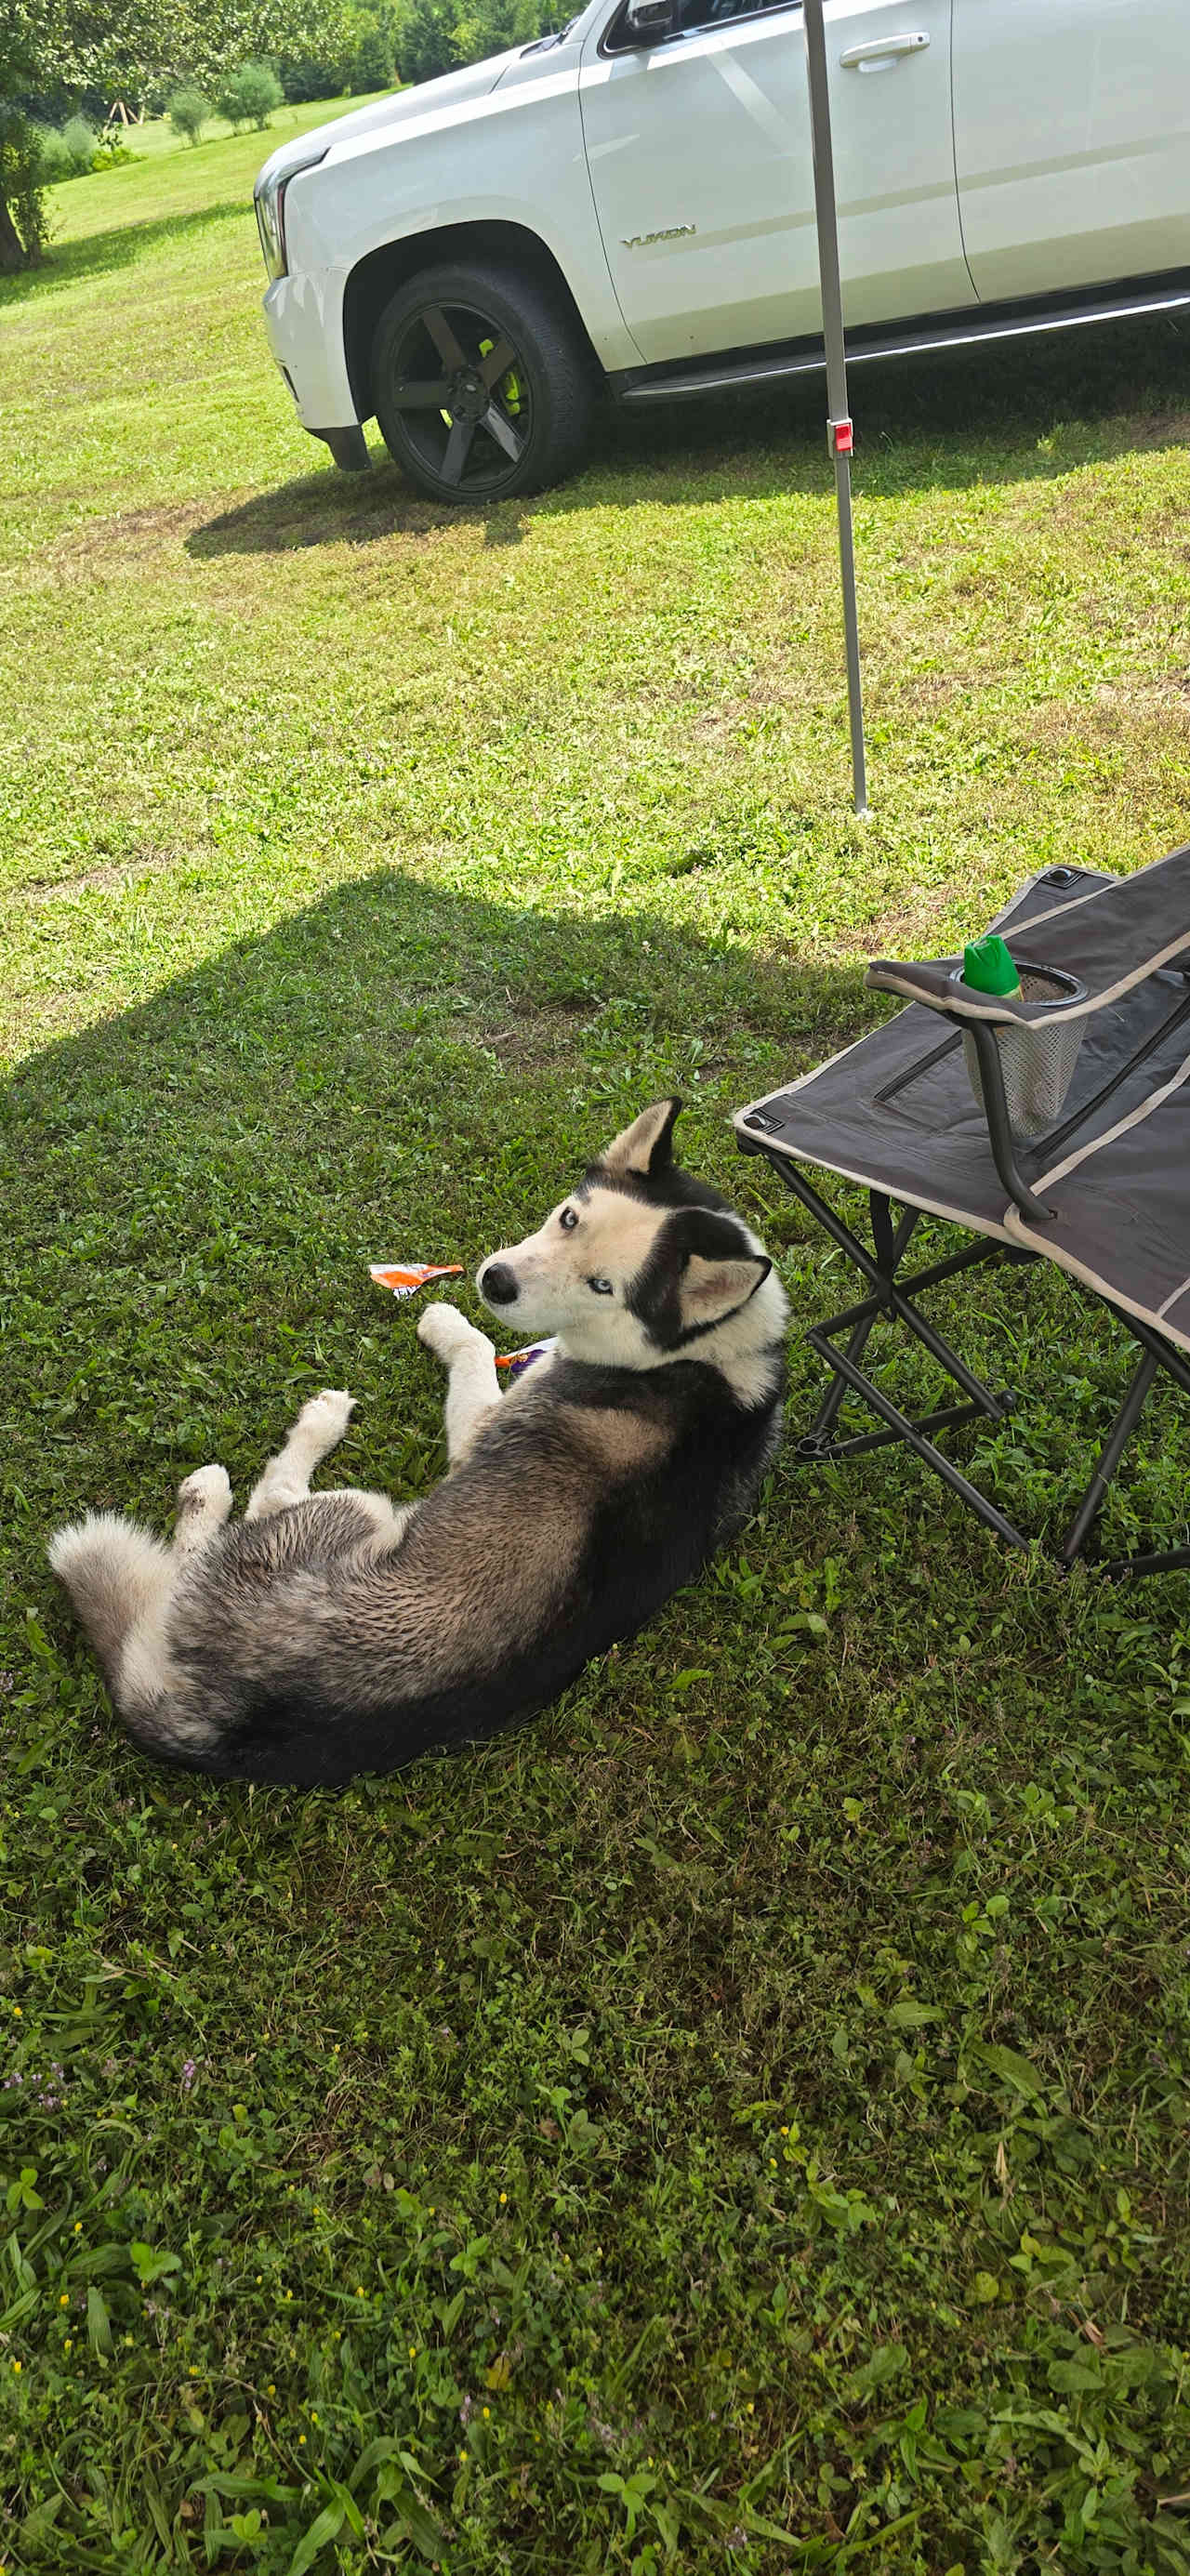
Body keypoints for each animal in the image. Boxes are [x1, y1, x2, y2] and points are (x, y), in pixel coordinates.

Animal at [51, 1102, 783, 1792]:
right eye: (569, 1218)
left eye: (603, 1285)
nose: (494, 1282)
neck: (699, 1354)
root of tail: (211, 1722)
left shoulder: (483, 1430)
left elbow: (479, 1347)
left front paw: (443, 1319)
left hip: (350, 1510)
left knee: (251, 1509)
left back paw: (234, 1474)